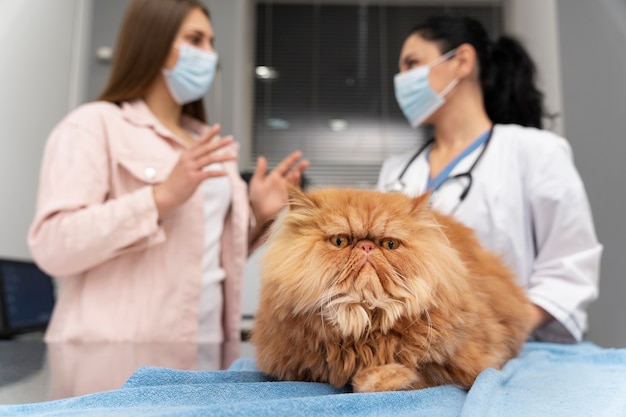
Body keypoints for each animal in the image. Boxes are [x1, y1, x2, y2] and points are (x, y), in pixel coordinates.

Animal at [250, 187, 532, 392]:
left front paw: (382, 377)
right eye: (340, 241)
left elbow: (401, 375)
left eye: (390, 244)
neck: (365, 321)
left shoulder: (467, 363)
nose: (366, 247)